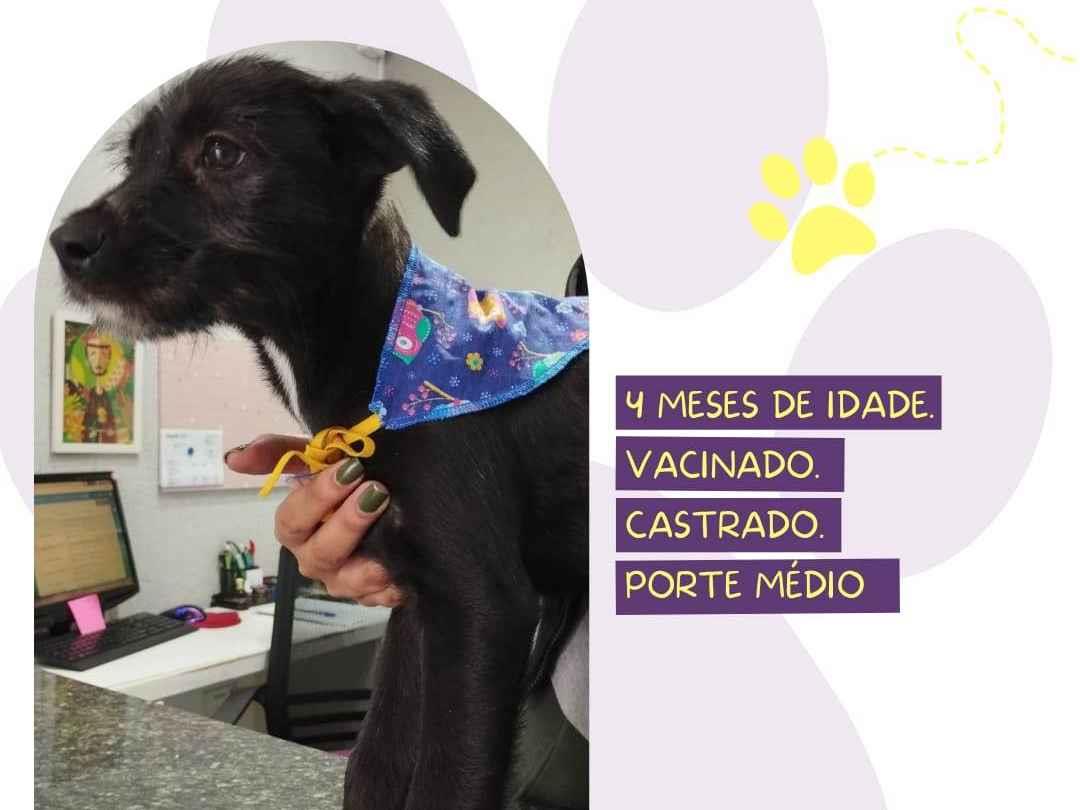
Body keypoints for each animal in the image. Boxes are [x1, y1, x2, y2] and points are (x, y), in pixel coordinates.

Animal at [50, 56, 588, 810]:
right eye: (132, 159)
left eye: (222, 152)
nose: (64, 244)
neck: (387, 345)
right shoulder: (416, 606)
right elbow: (376, 761)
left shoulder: (483, 606)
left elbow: (446, 777)